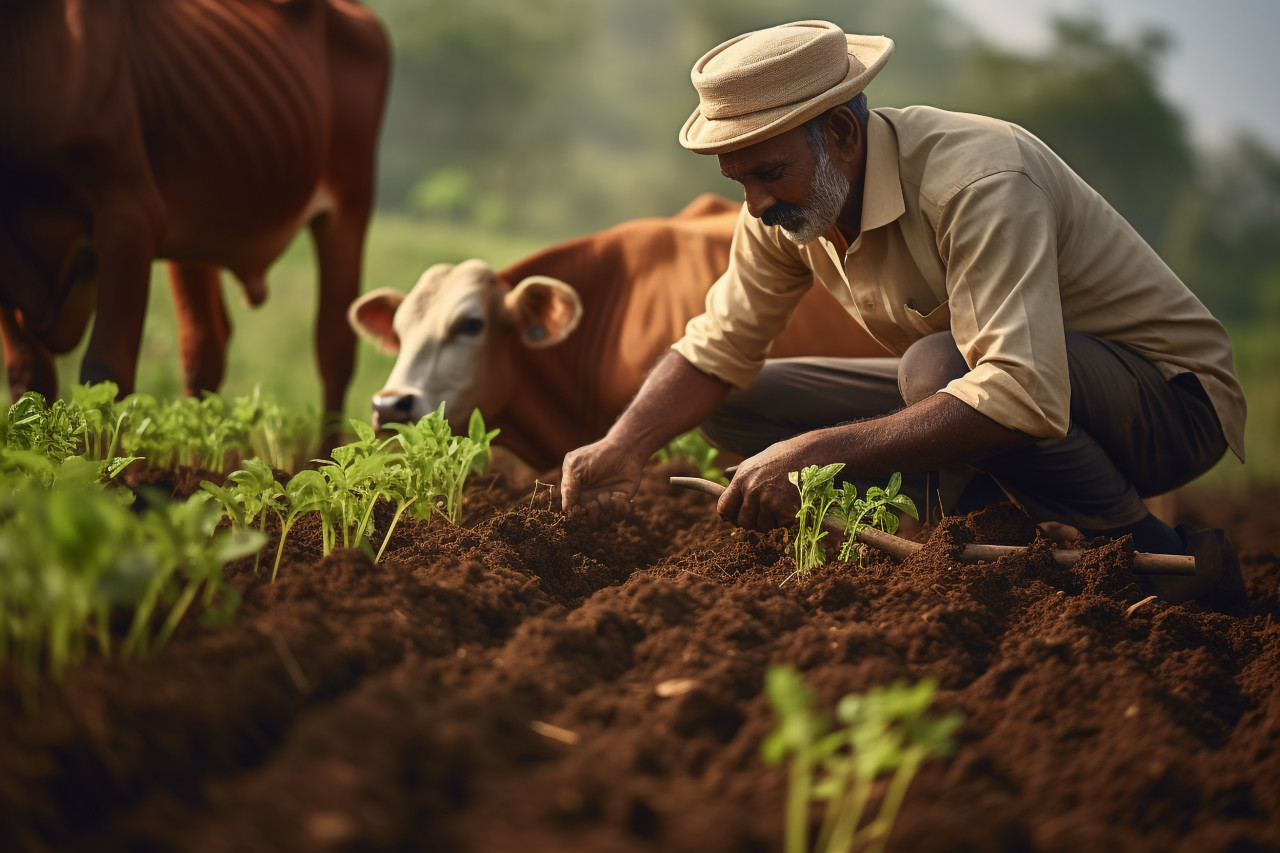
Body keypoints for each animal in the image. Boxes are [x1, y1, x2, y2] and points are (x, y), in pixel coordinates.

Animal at [0, 0, 389, 428]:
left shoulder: (128, 219)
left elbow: (106, 371)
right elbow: (28, 374)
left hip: (350, 204)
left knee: (334, 347)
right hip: (198, 229)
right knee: (206, 348)